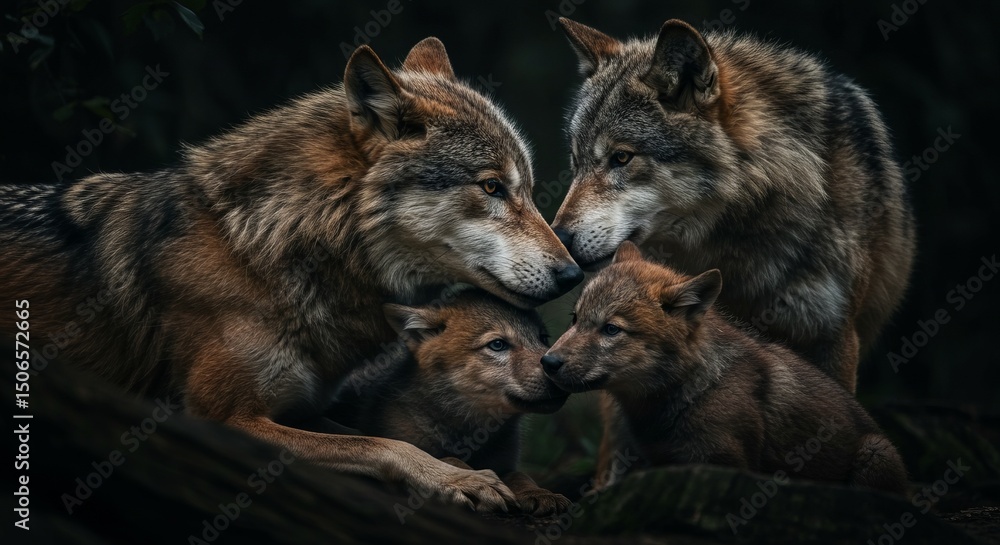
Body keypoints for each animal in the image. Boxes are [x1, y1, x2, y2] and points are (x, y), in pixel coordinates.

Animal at [339, 288, 571, 516]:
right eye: (497, 345)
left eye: (543, 338)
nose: (554, 368)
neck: (467, 432)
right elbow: (445, 459)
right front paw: (472, 480)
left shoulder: (506, 464)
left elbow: (520, 475)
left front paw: (539, 493)